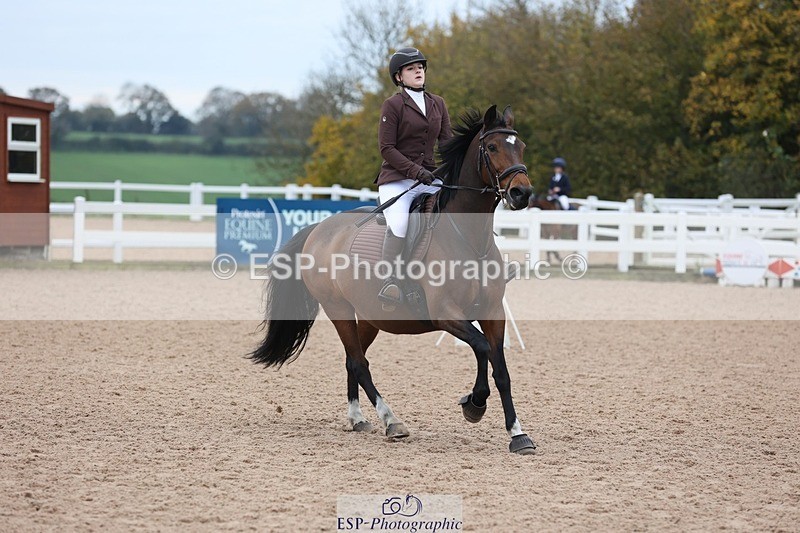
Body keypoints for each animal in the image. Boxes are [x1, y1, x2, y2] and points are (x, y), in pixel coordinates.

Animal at [249, 105, 536, 455]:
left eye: (520, 147)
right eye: (492, 147)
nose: (522, 193)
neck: (468, 238)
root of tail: (319, 229)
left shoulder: (493, 313)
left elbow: (502, 370)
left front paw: (518, 434)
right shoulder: (446, 314)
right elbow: (481, 348)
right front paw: (474, 404)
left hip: (369, 316)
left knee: (353, 360)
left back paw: (358, 419)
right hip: (338, 309)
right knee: (359, 363)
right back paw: (391, 421)